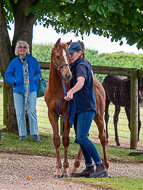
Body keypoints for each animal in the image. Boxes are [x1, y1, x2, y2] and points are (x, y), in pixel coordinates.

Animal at [44, 38, 109, 178]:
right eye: (58, 56)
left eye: (69, 57)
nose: (68, 75)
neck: (56, 89)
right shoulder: (52, 114)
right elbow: (56, 140)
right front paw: (58, 170)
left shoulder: (67, 114)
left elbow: (65, 140)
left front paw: (64, 170)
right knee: (84, 136)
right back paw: (77, 167)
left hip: (98, 117)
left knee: (102, 137)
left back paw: (105, 167)